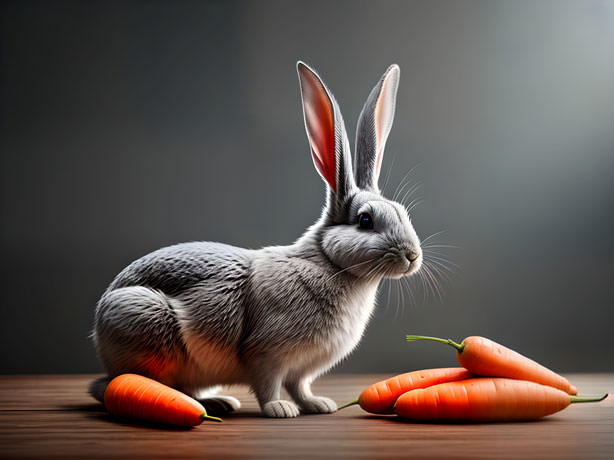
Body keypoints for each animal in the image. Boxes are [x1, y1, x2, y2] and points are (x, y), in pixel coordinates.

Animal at [91, 61, 424, 416]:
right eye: (365, 221)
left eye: (403, 212)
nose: (412, 255)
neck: (328, 263)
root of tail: (100, 328)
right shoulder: (266, 353)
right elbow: (268, 385)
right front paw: (279, 410)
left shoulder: (302, 368)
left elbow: (300, 386)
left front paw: (318, 405)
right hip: (145, 324)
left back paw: (220, 402)